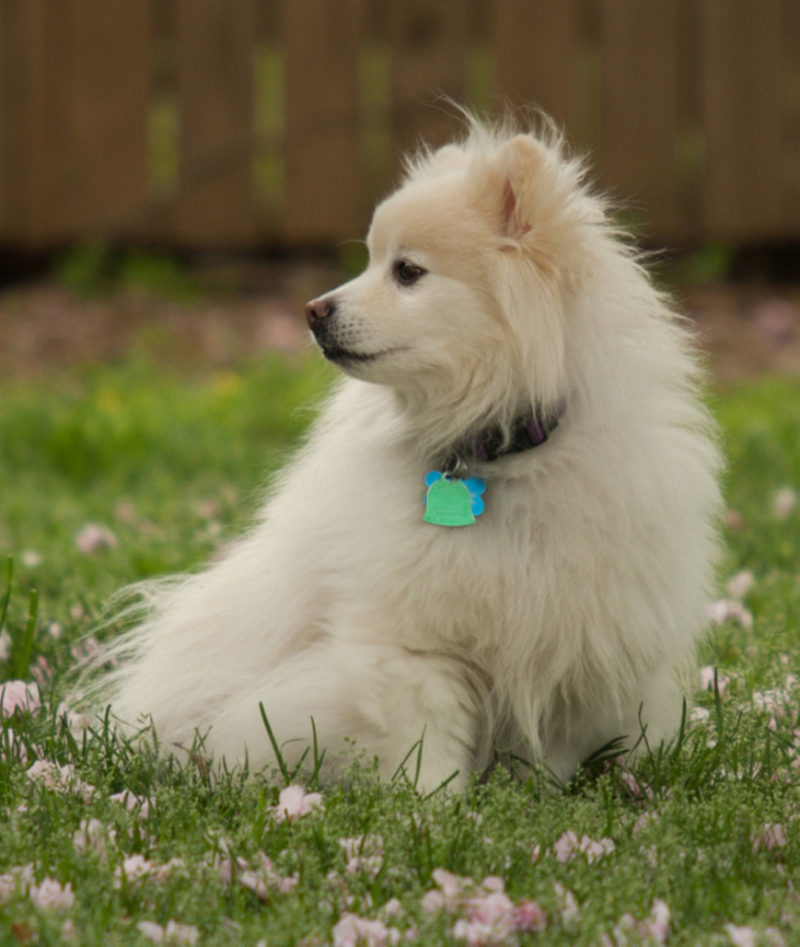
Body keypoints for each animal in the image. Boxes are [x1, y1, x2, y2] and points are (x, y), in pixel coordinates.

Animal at [97, 118, 720, 792]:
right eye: (372, 262)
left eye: (408, 272)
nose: (313, 310)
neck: (493, 455)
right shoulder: (410, 646)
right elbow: (428, 742)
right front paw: (434, 804)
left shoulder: (572, 639)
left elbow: (548, 748)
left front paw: (535, 800)